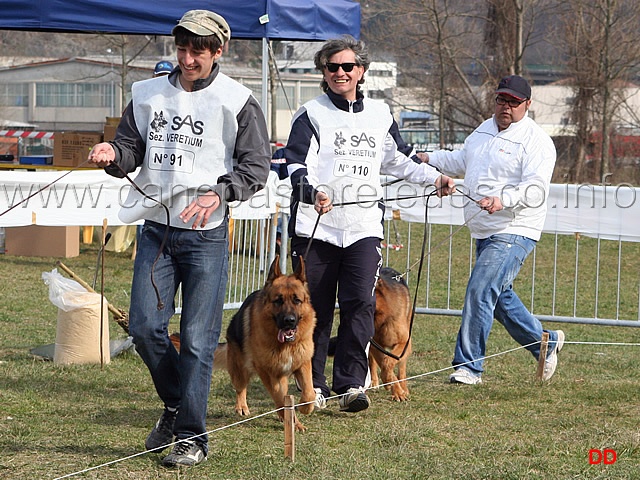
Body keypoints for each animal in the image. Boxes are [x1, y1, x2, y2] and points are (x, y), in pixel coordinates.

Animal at [222, 256, 318, 434]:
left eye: (297, 300)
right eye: (278, 301)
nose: (289, 321)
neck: (286, 346)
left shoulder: (303, 363)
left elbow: (309, 392)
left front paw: (304, 408)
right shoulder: (267, 372)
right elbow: (278, 397)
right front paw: (293, 421)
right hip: (240, 367)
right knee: (241, 386)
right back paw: (242, 406)